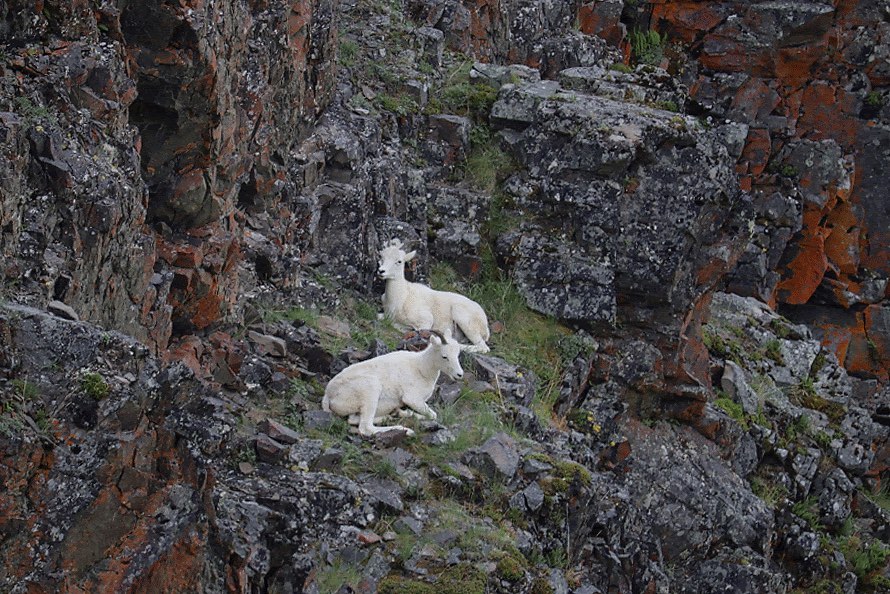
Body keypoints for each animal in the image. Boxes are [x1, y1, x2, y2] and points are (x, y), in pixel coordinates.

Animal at [320, 328, 464, 434]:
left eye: (457, 354)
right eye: (444, 356)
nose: (459, 374)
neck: (421, 368)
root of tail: (329, 395)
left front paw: (401, 412)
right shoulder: (412, 399)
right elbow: (433, 415)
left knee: (354, 420)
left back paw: (391, 415)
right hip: (371, 391)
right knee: (366, 427)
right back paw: (405, 430)